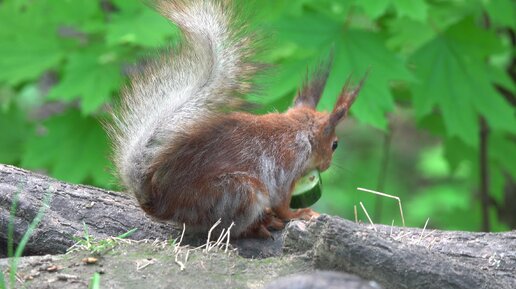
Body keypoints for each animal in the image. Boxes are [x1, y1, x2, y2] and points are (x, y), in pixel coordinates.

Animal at [108, 1, 366, 237]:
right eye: (335, 144)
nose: (327, 165)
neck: (299, 131)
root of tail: (164, 206)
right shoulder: (288, 165)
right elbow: (282, 202)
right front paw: (298, 214)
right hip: (240, 192)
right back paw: (259, 225)